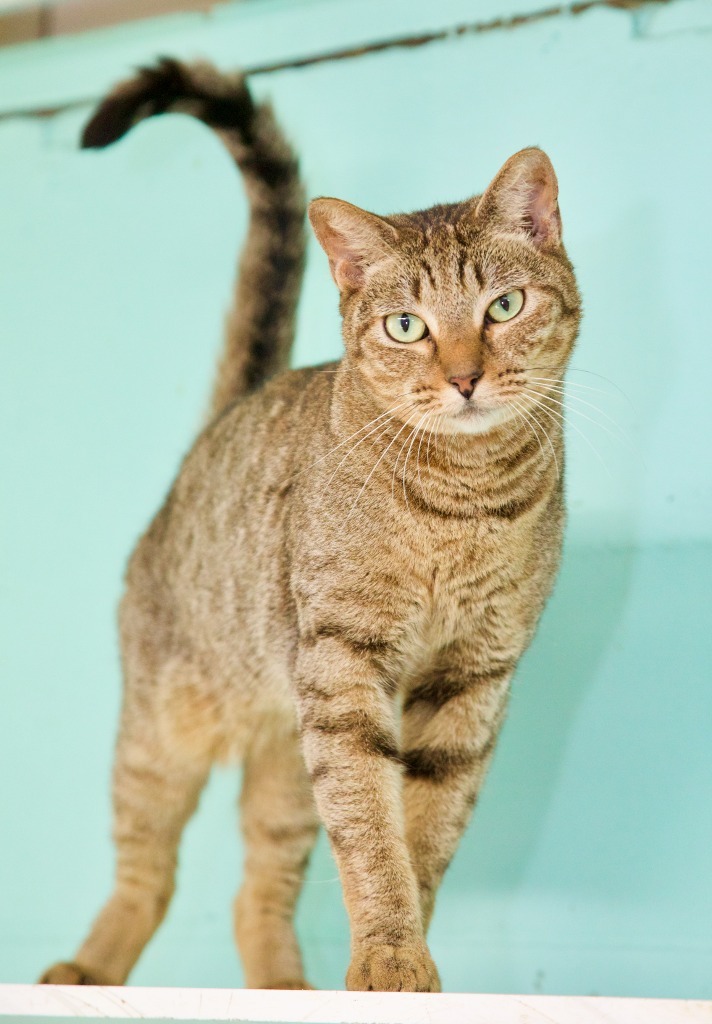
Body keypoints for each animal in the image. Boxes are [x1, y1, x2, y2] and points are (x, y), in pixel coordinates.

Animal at [38, 56, 577, 991]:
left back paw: (286, 985)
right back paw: (87, 968)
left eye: (504, 307)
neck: (463, 501)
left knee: (255, 889)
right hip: (161, 733)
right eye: (407, 326)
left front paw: (404, 956)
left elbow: (424, 833)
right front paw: (390, 954)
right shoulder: (343, 664)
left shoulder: (475, 679)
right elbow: (369, 831)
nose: (465, 377)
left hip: (284, 766)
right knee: (147, 870)